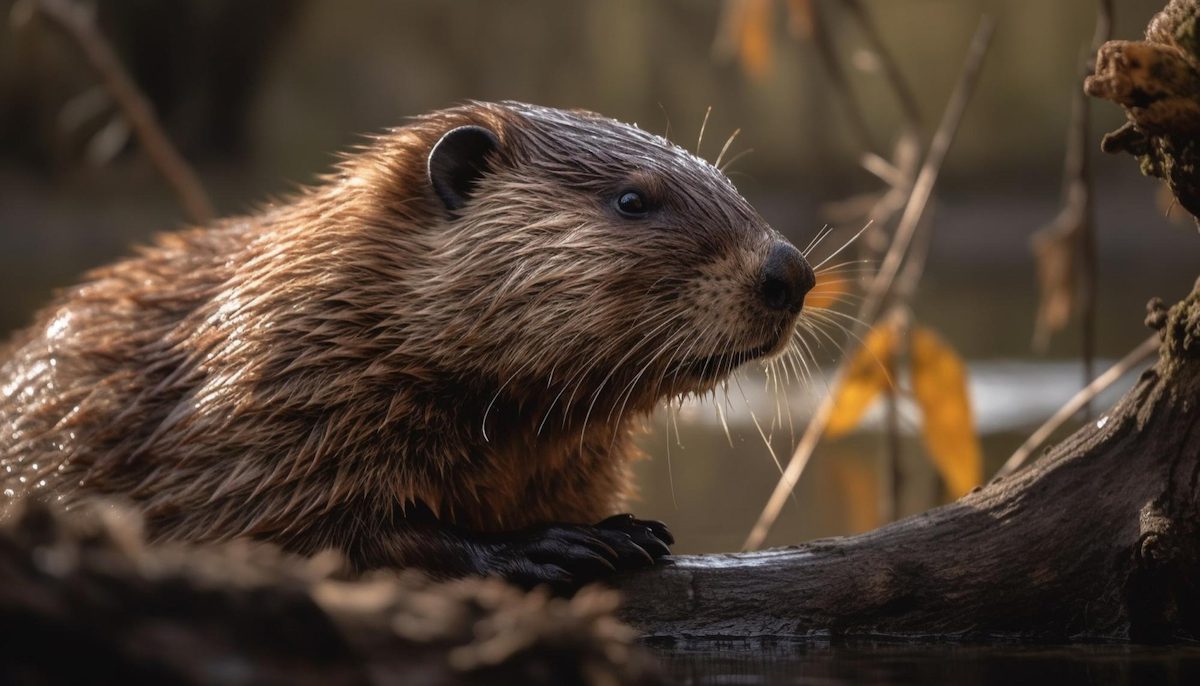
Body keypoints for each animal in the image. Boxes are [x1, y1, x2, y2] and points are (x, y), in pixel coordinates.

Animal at [0, 101, 816, 590]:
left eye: (728, 183)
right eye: (632, 199)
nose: (790, 271)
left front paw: (632, 526)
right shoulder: (256, 421)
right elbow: (301, 534)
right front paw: (562, 544)